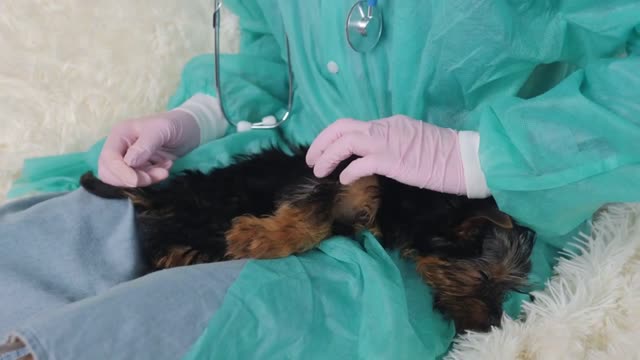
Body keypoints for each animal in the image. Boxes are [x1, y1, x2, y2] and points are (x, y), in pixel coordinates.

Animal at [79, 146, 536, 332]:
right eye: (484, 280)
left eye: (507, 288)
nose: (492, 324)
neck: (415, 202)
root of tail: (169, 196)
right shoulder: (344, 176)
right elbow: (314, 211)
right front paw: (262, 238)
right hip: (205, 210)